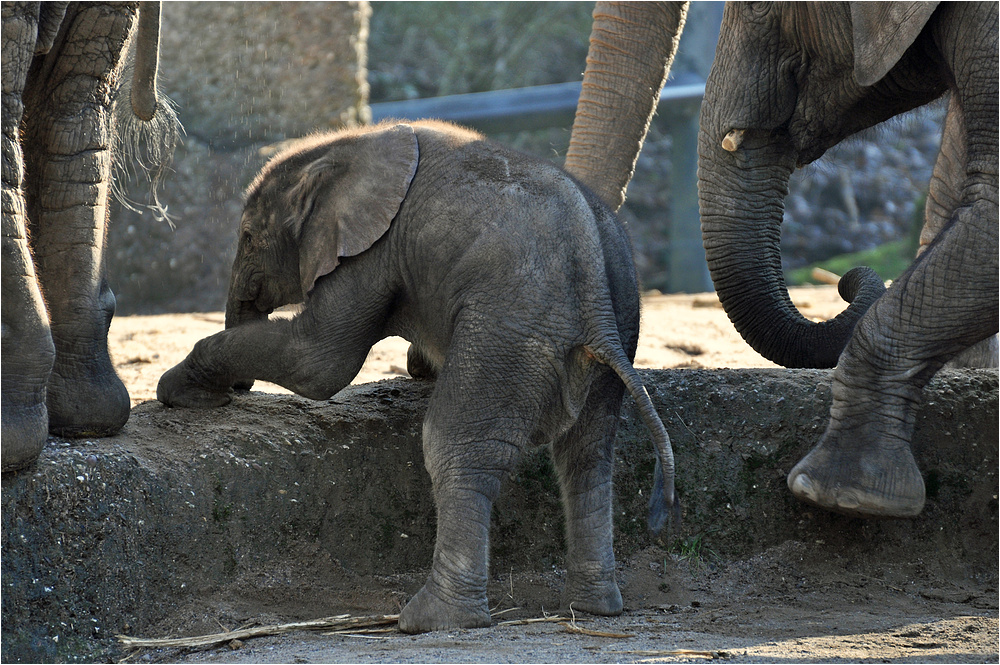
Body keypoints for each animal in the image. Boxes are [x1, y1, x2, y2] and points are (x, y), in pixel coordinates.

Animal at [158, 119, 680, 632]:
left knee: (457, 445)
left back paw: (434, 619)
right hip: (619, 320)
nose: (235, 393)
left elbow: (318, 362)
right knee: (587, 455)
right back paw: (593, 608)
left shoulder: (370, 250)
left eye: (248, 236)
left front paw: (177, 391)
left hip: (508, 326)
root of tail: (594, 290)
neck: (344, 145)